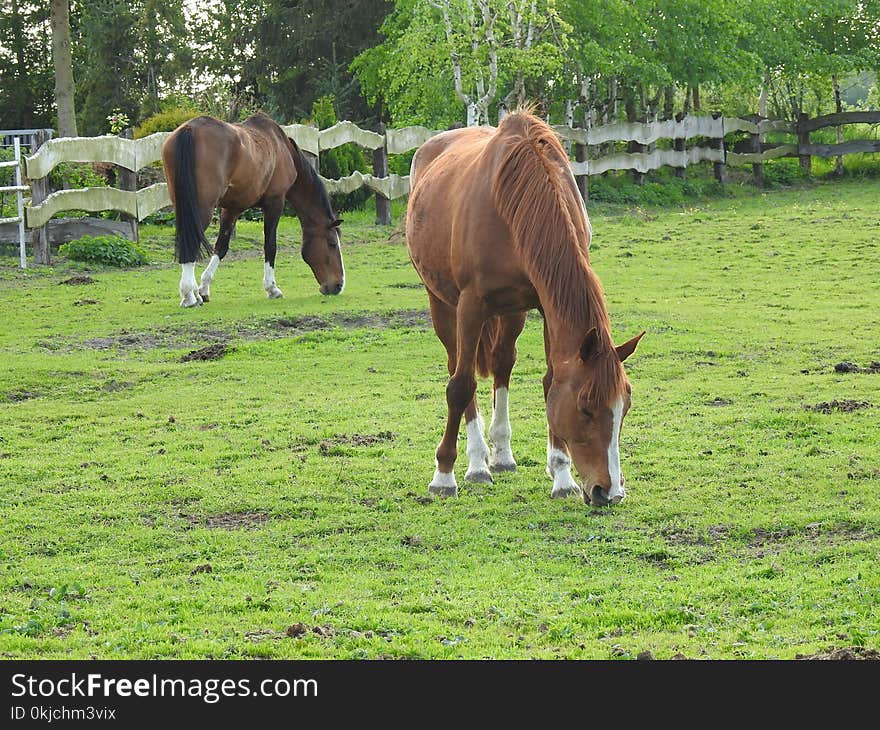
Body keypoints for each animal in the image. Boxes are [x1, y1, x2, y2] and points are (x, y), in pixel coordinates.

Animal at [162, 111, 344, 308]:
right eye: (332, 243)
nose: (338, 285)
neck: (283, 149)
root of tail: (189, 129)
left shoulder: (232, 208)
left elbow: (221, 247)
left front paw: (204, 289)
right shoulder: (275, 203)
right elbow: (270, 246)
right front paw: (272, 289)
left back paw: (193, 293)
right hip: (202, 208)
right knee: (191, 244)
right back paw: (189, 296)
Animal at [408, 111, 648, 504]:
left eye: (624, 409)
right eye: (585, 408)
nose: (609, 491)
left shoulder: (546, 305)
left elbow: (551, 381)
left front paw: (561, 475)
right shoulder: (470, 305)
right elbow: (460, 386)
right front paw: (444, 475)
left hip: (512, 311)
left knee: (502, 363)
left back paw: (502, 455)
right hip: (442, 302)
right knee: (460, 370)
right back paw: (477, 462)